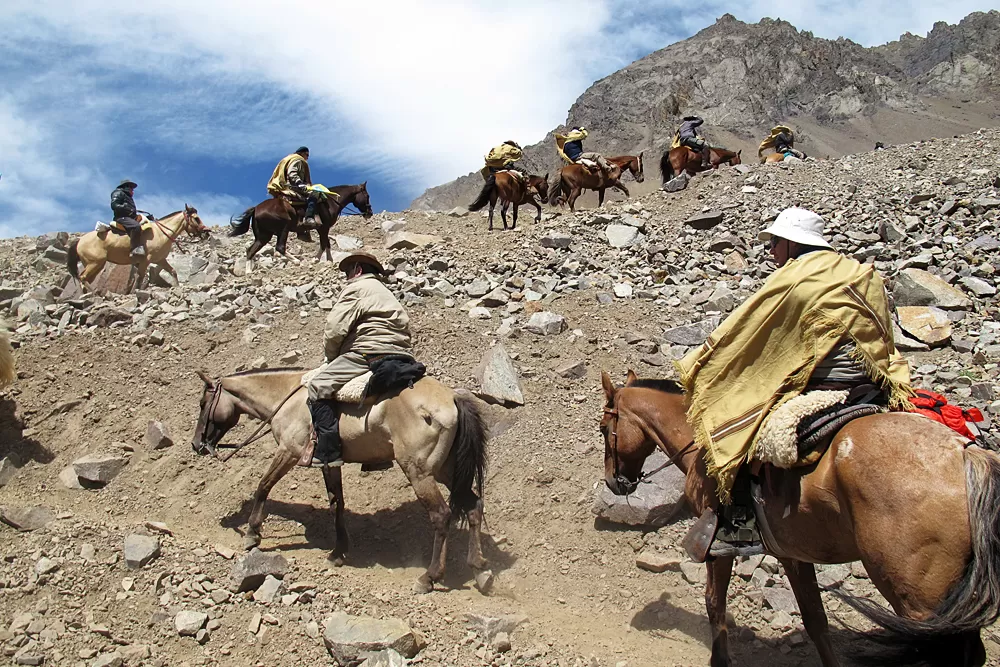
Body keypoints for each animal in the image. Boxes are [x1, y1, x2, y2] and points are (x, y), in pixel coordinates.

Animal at [65, 207, 210, 294]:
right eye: (196, 218)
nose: (207, 232)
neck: (160, 233)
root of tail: (79, 241)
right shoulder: (146, 260)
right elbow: (140, 277)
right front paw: (136, 292)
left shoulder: (160, 260)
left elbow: (173, 271)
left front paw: (177, 287)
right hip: (95, 263)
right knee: (83, 277)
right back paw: (95, 294)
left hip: (95, 265)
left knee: (84, 279)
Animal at [190, 370, 492, 596]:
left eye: (203, 404)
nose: (196, 445)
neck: (288, 398)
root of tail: (453, 397)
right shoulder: (329, 462)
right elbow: (337, 502)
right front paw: (338, 551)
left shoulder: (288, 452)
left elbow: (263, 485)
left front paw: (253, 535)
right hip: (447, 471)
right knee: (474, 506)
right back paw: (480, 569)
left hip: (420, 473)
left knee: (441, 515)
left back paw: (429, 577)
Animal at [229, 185, 376, 266]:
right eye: (367, 195)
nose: (370, 212)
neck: (330, 202)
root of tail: (256, 209)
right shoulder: (324, 228)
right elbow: (325, 244)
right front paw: (321, 260)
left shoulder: (323, 229)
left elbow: (326, 243)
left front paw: (323, 260)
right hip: (284, 228)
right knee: (280, 247)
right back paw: (296, 261)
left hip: (263, 235)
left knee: (251, 250)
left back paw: (249, 273)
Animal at [596, 370, 1000, 667]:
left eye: (603, 429)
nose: (614, 482)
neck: (705, 444)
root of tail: (965, 456)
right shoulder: (792, 553)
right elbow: (816, 621)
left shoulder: (716, 545)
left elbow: (714, 603)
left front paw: (720, 660)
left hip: (917, 599)